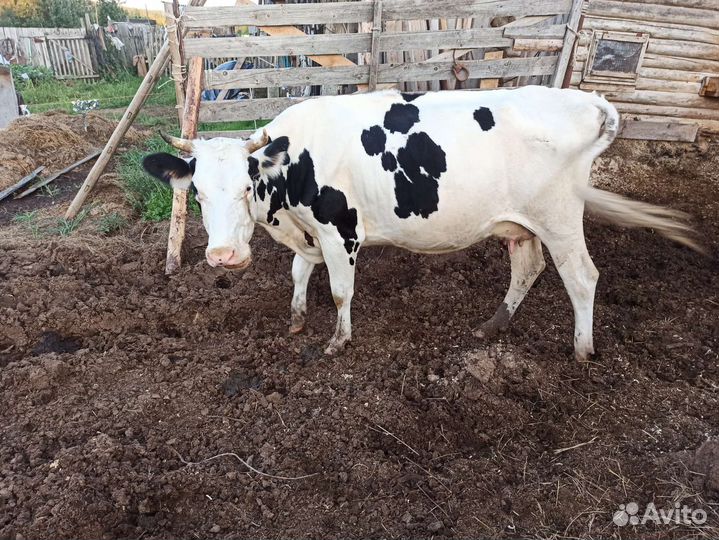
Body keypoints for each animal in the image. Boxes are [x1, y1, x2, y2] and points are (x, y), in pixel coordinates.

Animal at [143, 86, 701, 361]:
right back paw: (492, 325)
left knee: (582, 277)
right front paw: (297, 317)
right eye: (196, 193)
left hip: (559, 216)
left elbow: (341, 291)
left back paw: (583, 350)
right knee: (528, 268)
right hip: (519, 222)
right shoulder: (309, 233)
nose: (224, 257)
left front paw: (338, 341)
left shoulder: (340, 230)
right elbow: (300, 272)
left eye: (245, 187)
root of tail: (585, 97)